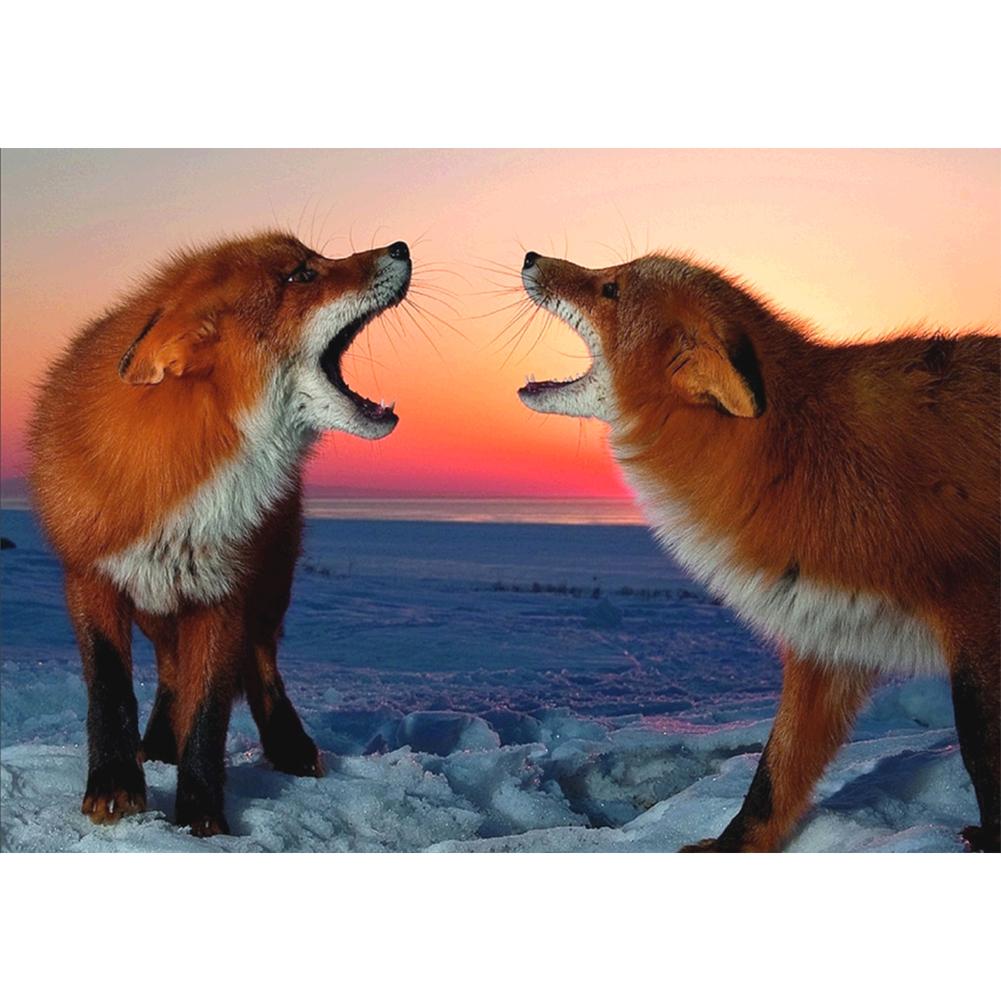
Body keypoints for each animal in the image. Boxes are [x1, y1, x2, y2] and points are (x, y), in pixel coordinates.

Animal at [28, 231, 411, 836]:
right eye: (302, 275)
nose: (400, 246)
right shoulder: (90, 577)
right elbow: (110, 690)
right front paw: (115, 785)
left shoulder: (222, 591)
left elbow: (208, 714)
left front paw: (201, 818)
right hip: (157, 603)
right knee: (169, 672)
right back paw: (159, 744)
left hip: (267, 588)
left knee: (260, 664)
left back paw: (288, 746)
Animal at [517, 249, 1000, 852]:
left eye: (610, 288)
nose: (530, 257)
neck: (800, 460)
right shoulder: (829, 634)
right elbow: (774, 773)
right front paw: (730, 846)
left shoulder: (976, 613)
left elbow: (982, 750)